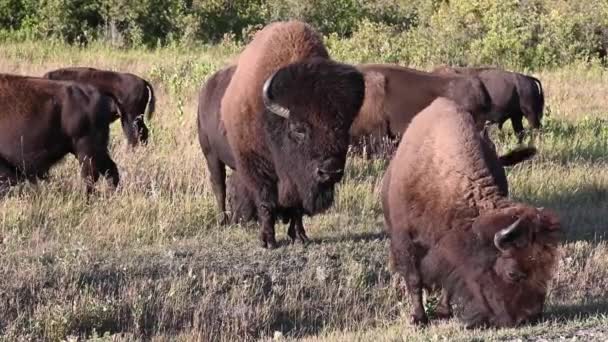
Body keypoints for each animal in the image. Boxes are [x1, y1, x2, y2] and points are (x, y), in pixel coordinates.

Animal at [220, 20, 366, 247]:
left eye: (342, 127)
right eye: (298, 129)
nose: (330, 172)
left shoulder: (299, 177)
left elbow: (297, 206)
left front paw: (300, 236)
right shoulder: (256, 166)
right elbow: (266, 202)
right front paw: (267, 240)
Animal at [382, 96, 564, 328]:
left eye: (546, 267)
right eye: (512, 273)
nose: (528, 318)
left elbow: (449, 280)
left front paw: (443, 312)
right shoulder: (404, 240)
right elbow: (414, 279)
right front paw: (419, 318)